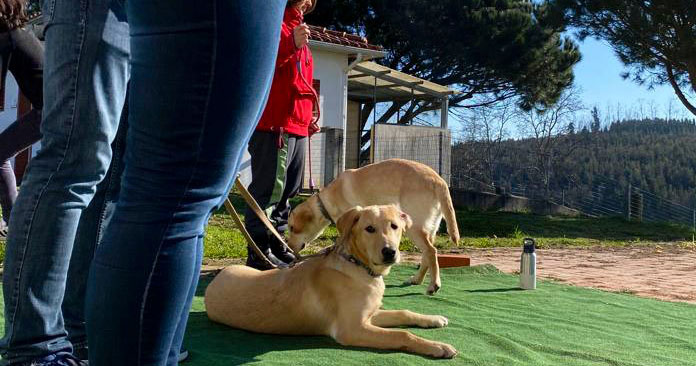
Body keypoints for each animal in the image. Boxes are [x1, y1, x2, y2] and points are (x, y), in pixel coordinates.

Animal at [204, 206, 460, 360]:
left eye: (394, 227)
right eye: (369, 229)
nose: (390, 252)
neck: (358, 266)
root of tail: (213, 283)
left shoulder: (368, 316)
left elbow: (404, 313)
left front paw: (433, 319)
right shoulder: (352, 329)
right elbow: (402, 335)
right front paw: (439, 347)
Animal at [286, 158, 460, 294]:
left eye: (292, 228)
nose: (288, 247)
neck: (325, 202)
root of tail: (439, 180)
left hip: (414, 227)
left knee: (431, 251)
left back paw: (433, 285)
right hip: (429, 228)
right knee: (427, 254)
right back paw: (416, 279)